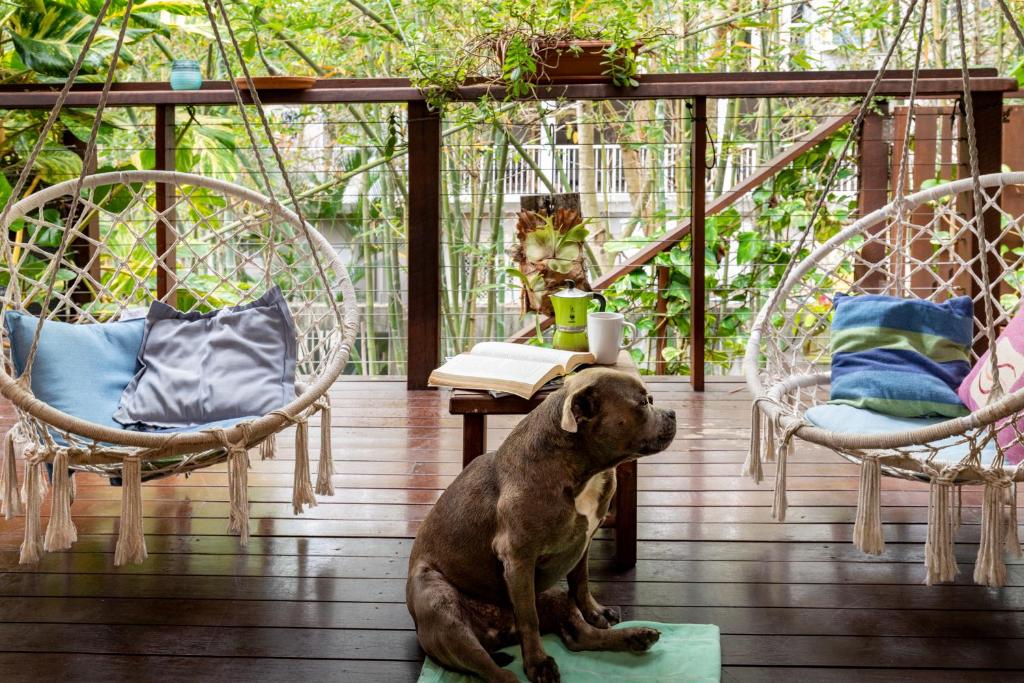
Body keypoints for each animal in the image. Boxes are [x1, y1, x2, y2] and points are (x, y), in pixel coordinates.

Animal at [407, 368, 679, 683]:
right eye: (643, 403)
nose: (672, 413)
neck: (582, 469)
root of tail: (497, 633)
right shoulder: (519, 559)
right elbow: (529, 617)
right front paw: (537, 662)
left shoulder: (582, 546)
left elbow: (581, 583)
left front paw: (595, 612)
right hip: (443, 610)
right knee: (497, 672)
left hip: (552, 595)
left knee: (581, 638)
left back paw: (636, 636)